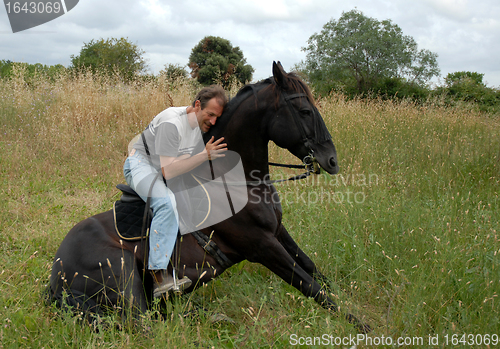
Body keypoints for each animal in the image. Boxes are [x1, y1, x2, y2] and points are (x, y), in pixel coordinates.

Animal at [48, 61, 370, 332]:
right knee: (144, 324)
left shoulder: (278, 231)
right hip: (122, 270)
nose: (331, 160)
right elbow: (312, 287)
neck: (241, 183)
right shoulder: (262, 246)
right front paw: (362, 325)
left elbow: (314, 270)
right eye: (304, 111)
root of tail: (55, 277)